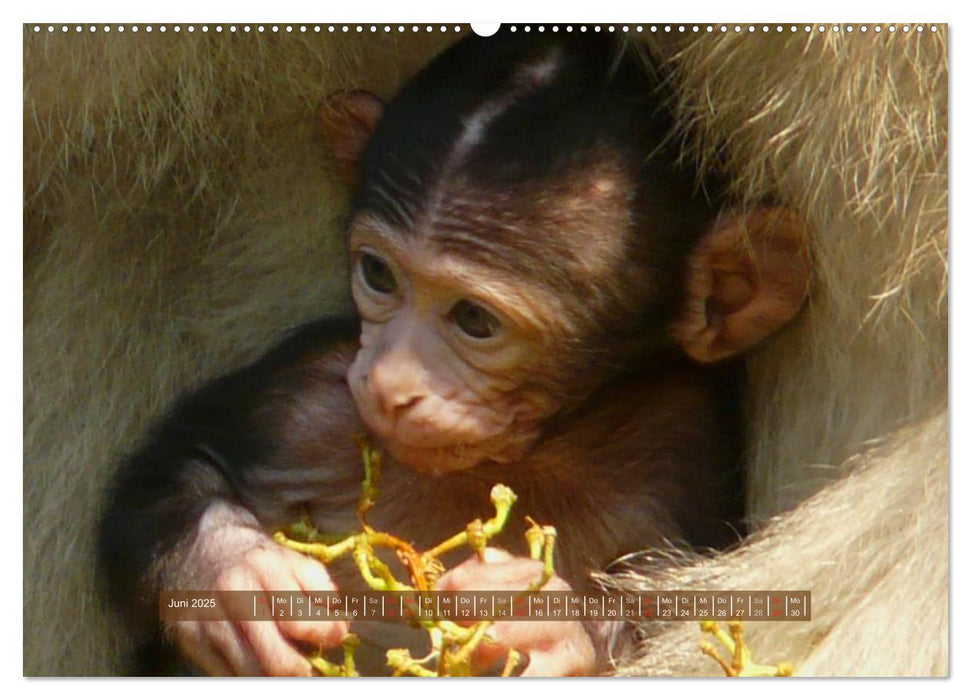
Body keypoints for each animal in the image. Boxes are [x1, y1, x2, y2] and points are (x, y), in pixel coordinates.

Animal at [98, 30, 812, 676]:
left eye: (474, 319)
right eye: (378, 274)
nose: (389, 384)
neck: (535, 448)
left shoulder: (681, 454)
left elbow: (693, 621)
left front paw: (544, 625)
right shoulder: (310, 394)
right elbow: (175, 467)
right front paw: (233, 576)